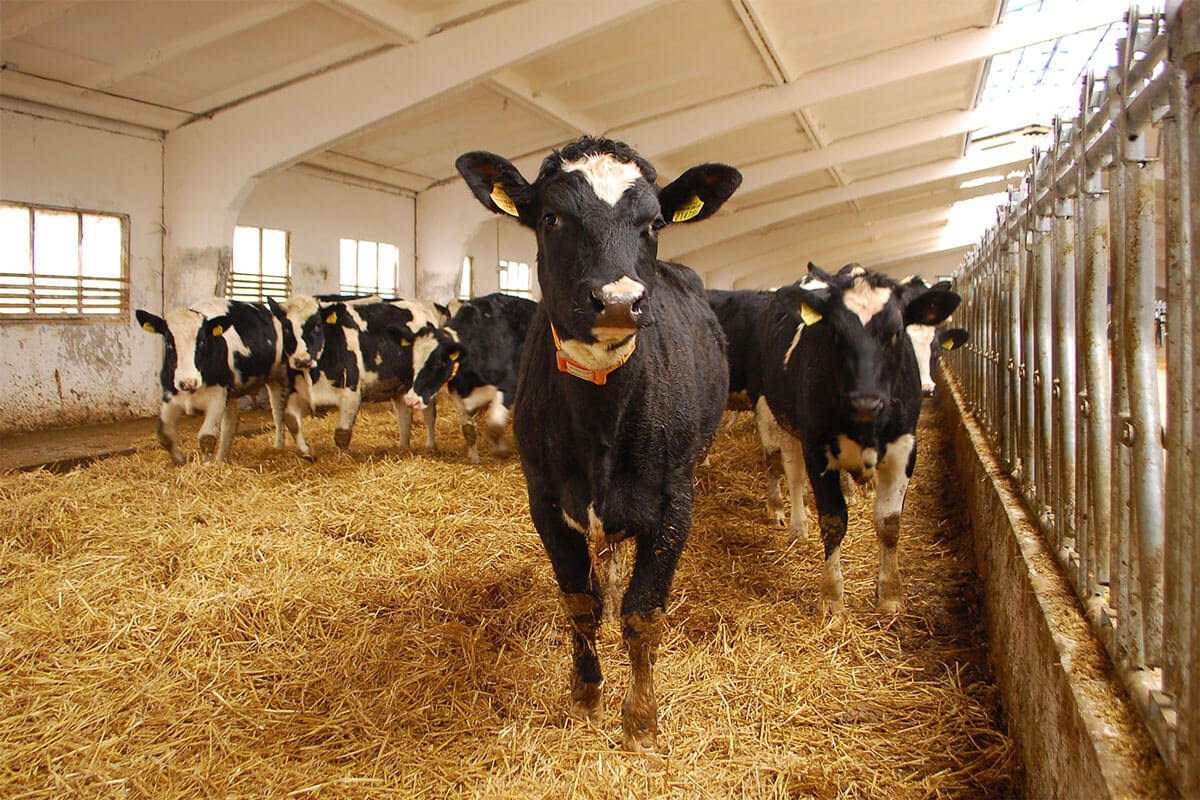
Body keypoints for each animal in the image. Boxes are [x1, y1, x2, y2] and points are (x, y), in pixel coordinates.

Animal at [135, 297, 285, 465]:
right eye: (169, 343)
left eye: (201, 341)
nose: (188, 382)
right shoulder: (170, 395)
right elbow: (164, 433)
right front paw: (180, 459)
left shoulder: (217, 396)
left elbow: (206, 437)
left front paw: (206, 464)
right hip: (231, 391)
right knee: (230, 424)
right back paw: (221, 459)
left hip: (278, 377)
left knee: (278, 412)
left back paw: (279, 447)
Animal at [274, 296, 444, 460]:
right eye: (286, 328)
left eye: (317, 325)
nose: (302, 360)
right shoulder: (298, 392)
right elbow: (291, 420)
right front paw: (307, 452)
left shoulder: (351, 392)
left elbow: (342, 433)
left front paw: (344, 460)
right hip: (399, 384)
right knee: (404, 413)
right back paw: (403, 448)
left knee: (429, 414)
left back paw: (430, 446)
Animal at [400, 291, 537, 462]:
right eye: (413, 360)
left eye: (438, 363)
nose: (411, 400)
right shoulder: (458, 392)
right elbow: (469, 430)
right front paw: (474, 459)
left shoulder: (509, 385)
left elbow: (495, 424)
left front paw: (501, 450)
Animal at [456, 134, 739, 753]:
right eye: (551, 218)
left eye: (654, 223)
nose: (616, 301)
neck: (600, 427)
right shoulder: (545, 500)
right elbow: (580, 601)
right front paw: (585, 695)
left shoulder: (675, 503)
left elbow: (643, 613)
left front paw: (640, 720)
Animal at [753, 266, 960, 618]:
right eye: (835, 333)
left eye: (896, 332)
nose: (865, 400)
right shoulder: (816, 448)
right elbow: (833, 519)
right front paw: (831, 595)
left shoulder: (906, 449)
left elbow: (889, 523)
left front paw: (890, 594)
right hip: (780, 418)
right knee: (791, 473)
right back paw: (797, 524)